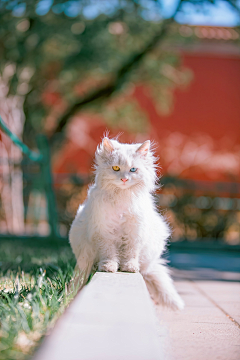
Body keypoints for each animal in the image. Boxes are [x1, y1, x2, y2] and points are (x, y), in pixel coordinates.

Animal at [69, 136, 184, 310]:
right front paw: (109, 267)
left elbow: (130, 253)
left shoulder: (134, 232)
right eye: (116, 168)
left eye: (133, 170)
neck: (122, 198)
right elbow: (109, 253)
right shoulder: (104, 232)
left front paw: (129, 268)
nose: (124, 179)